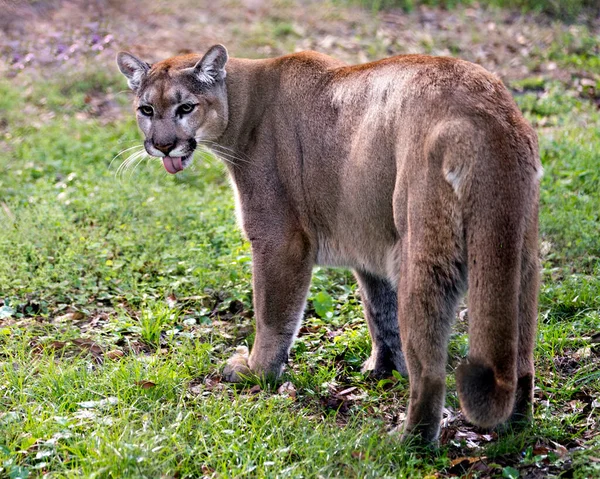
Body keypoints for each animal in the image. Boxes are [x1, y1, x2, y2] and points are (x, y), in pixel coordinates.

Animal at [116, 45, 540, 442]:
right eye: (146, 109)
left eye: (186, 107)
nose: (162, 145)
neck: (241, 105)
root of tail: (486, 113)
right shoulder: (370, 244)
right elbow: (380, 313)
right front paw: (382, 370)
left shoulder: (280, 239)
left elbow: (272, 315)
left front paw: (257, 373)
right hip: (515, 257)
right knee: (521, 357)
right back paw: (515, 427)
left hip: (423, 254)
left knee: (432, 371)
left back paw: (408, 442)